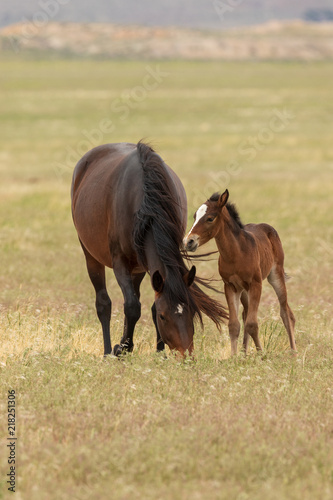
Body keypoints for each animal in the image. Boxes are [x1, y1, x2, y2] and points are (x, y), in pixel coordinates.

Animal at [71, 141, 227, 358]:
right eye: (164, 317)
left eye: (191, 312)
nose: (185, 354)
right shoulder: (120, 262)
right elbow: (132, 306)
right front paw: (123, 348)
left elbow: (145, 305)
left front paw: (159, 351)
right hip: (91, 256)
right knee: (104, 303)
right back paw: (108, 350)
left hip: (138, 267)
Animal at [184, 188, 296, 356]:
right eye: (194, 216)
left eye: (210, 218)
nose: (188, 242)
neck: (236, 254)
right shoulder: (230, 286)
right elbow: (234, 324)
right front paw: (234, 356)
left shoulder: (256, 284)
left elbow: (252, 324)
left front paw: (261, 355)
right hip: (244, 290)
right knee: (245, 314)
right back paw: (244, 353)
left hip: (275, 276)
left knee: (285, 312)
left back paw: (293, 351)